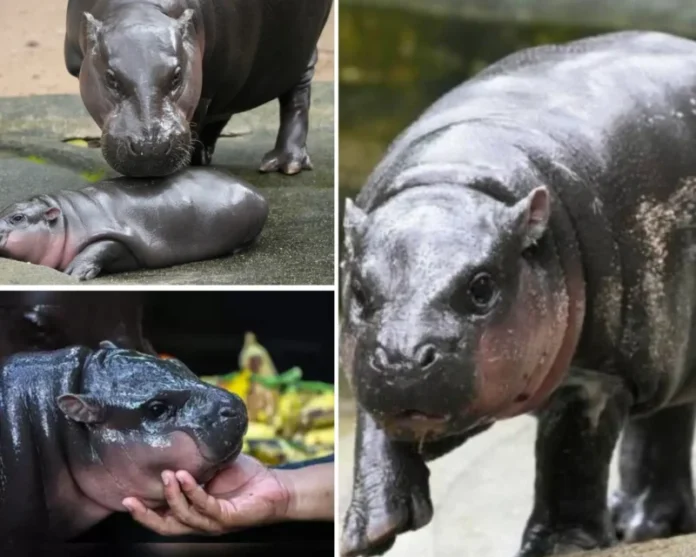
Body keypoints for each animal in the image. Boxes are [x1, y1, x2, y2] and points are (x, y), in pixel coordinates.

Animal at [0, 169, 269, 281]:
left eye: (18, 218)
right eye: (3, 209)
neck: (65, 220)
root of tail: (258, 191)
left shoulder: (117, 236)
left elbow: (100, 248)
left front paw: (73, 272)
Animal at [64, 0, 333, 177]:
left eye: (176, 76)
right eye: (110, 78)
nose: (150, 147)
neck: (139, 10)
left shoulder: (205, 86)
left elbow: (197, 120)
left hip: (300, 54)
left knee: (297, 98)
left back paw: (285, 164)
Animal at [340, 30, 696, 557]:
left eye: (482, 286)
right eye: (360, 291)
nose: (403, 360)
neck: (458, 178)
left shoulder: (601, 374)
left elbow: (570, 454)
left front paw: (561, 546)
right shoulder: (365, 358)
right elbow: (373, 428)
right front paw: (368, 534)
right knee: (664, 424)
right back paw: (639, 526)